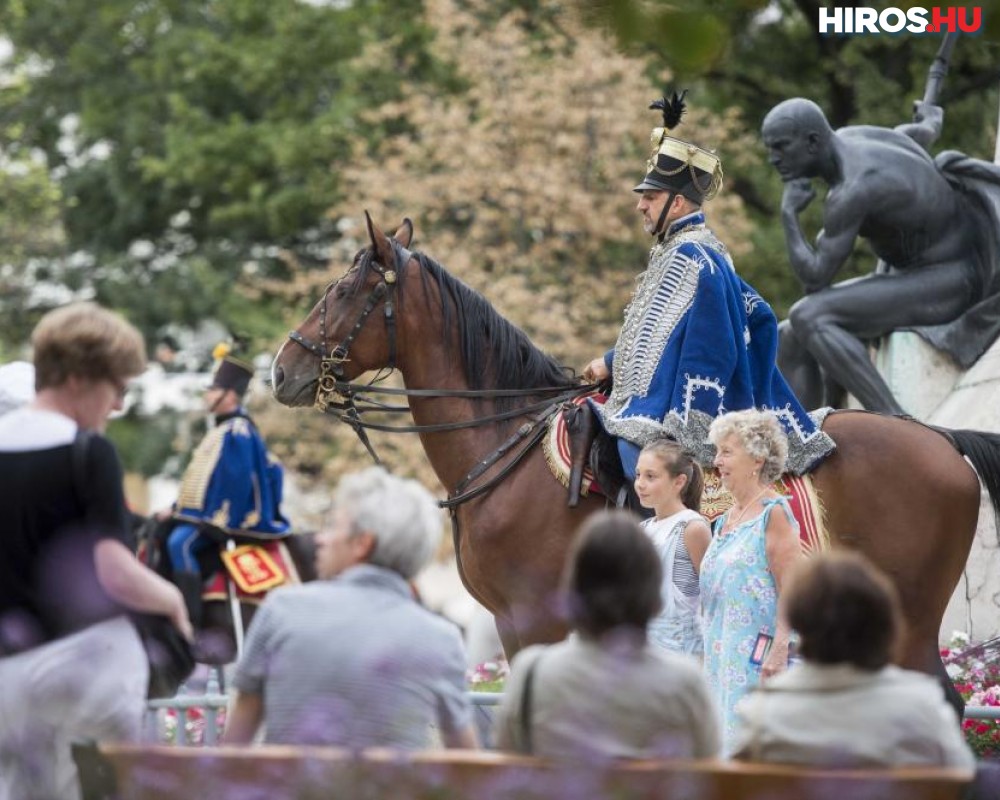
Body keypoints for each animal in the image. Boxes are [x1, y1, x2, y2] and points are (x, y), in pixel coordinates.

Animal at [270, 214, 1000, 712]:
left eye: (344, 291)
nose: (281, 370)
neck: (502, 444)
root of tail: (938, 437)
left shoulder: (533, 619)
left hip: (907, 623)